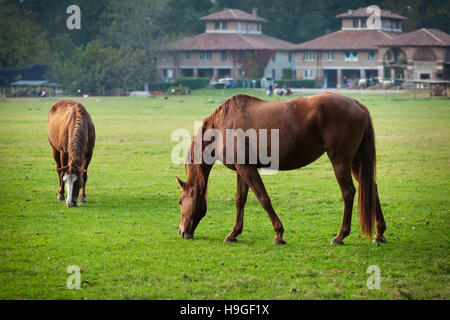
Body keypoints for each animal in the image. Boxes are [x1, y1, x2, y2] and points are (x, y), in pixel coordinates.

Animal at [176, 92, 386, 245]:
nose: (182, 231)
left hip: (340, 161)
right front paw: (234, 233)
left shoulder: (247, 170)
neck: (222, 127)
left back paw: (340, 236)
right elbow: (240, 200)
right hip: (355, 161)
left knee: (348, 192)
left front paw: (279, 234)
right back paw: (379, 233)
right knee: (371, 187)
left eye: (180, 201)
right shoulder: (242, 169)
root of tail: (356, 104)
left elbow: (263, 198)